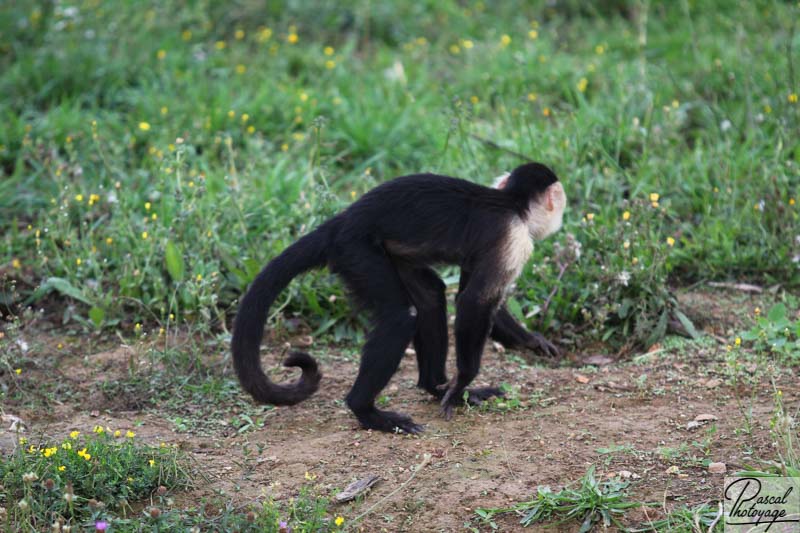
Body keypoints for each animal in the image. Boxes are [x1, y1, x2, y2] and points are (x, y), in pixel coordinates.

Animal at [233, 162, 568, 432]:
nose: (561, 214)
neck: (511, 203)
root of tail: (340, 223)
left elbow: (472, 297)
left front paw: (531, 341)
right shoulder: (514, 238)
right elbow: (475, 302)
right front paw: (463, 380)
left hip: (382, 254)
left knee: (431, 298)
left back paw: (436, 386)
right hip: (356, 251)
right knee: (400, 319)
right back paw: (367, 411)